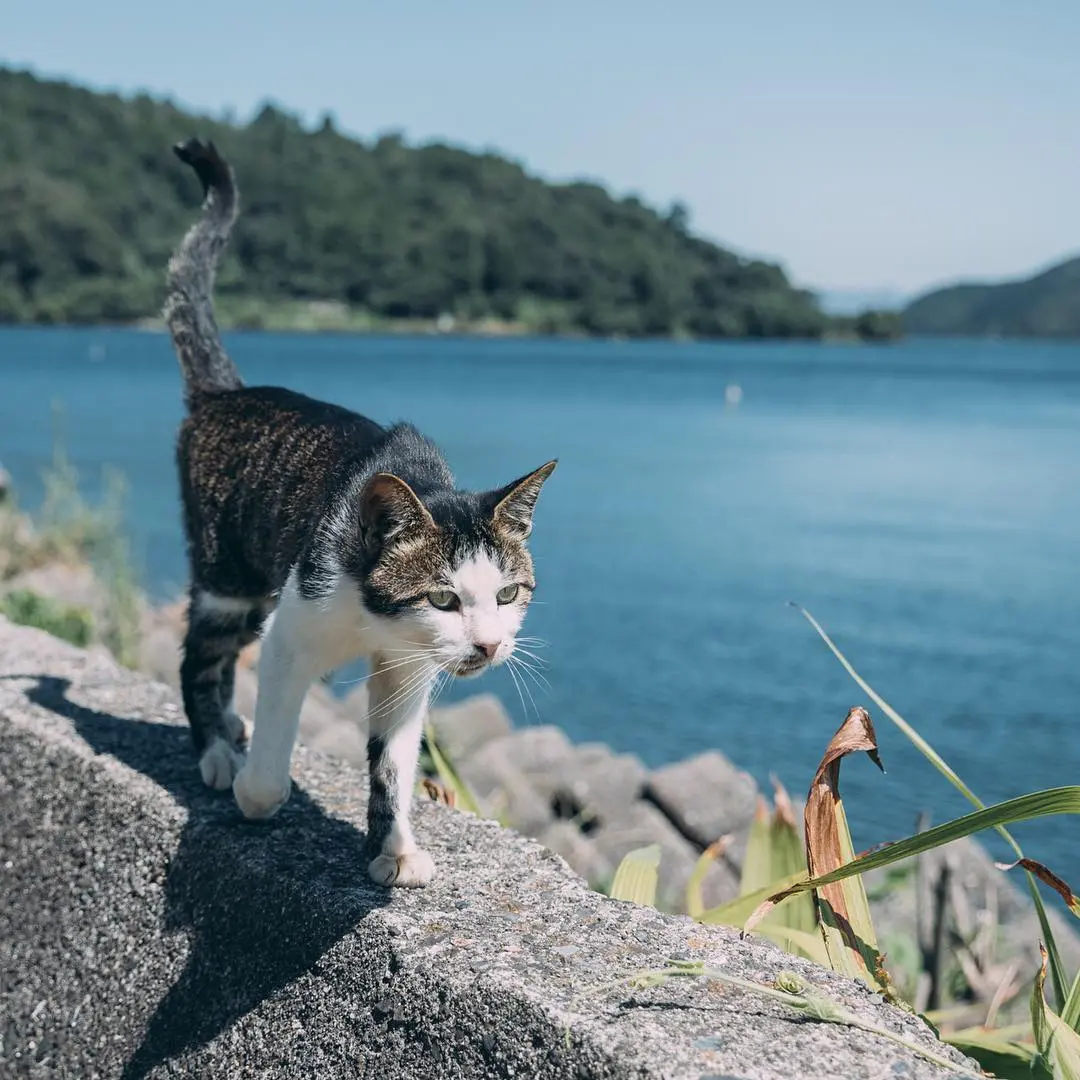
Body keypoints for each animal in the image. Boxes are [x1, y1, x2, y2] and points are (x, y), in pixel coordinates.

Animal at [164, 139, 561, 885]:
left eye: (508, 593)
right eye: (442, 598)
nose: (490, 646)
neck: (375, 618)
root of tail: (225, 395)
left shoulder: (408, 670)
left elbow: (395, 761)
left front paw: (393, 846)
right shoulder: (294, 630)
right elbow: (274, 750)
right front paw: (256, 791)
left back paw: (228, 729)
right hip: (229, 573)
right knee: (202, 653)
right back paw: (218, 751)